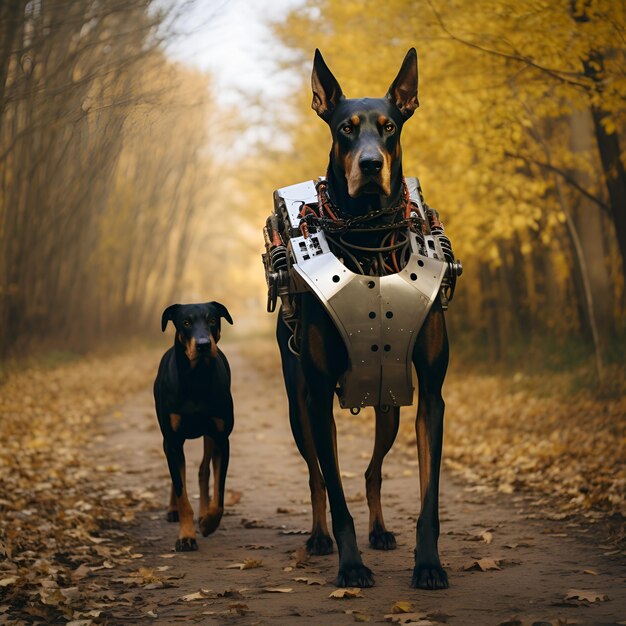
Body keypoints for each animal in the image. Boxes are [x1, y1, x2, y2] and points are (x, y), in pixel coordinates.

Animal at [154, 300, 234, 548]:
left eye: (212, 320)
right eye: (186, 323)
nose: (203, 345)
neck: (196, 378)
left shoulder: (221, 437)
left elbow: (219, 494)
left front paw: (208, 522)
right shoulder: (172, 439)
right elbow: (182, 492)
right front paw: (186, 536)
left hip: (209, 436)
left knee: (203, 471)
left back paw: (203, 513)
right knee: (176, 475)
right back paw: (172, 510)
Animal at [276, 47, 446, 584]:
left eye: (389, 126)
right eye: (345, 128)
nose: (370, 165)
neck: (369, 234)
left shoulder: (430, 392)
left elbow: (428, 494)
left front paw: (428, 563)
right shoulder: (315, 396)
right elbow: (332, 488)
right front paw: (350, 565)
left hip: (389, 401)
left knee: (373, 470)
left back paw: (381, 529)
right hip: (299, 406)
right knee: (315, 475)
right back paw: (318, 537)